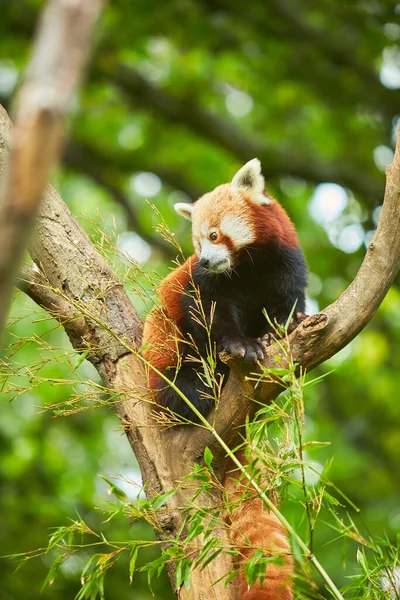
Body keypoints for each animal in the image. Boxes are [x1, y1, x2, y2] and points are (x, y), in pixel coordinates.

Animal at [141, 158, 306, 600]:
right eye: (197, 245)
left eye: (214, 235)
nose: (205, 260)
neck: (246, 267)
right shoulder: (200, 286)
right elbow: (207, 316)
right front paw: (241, 345)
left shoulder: (284, 265)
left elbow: (287, 304)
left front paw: (284, 328)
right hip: (163, 374)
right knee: (185, 385)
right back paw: (206, 389)